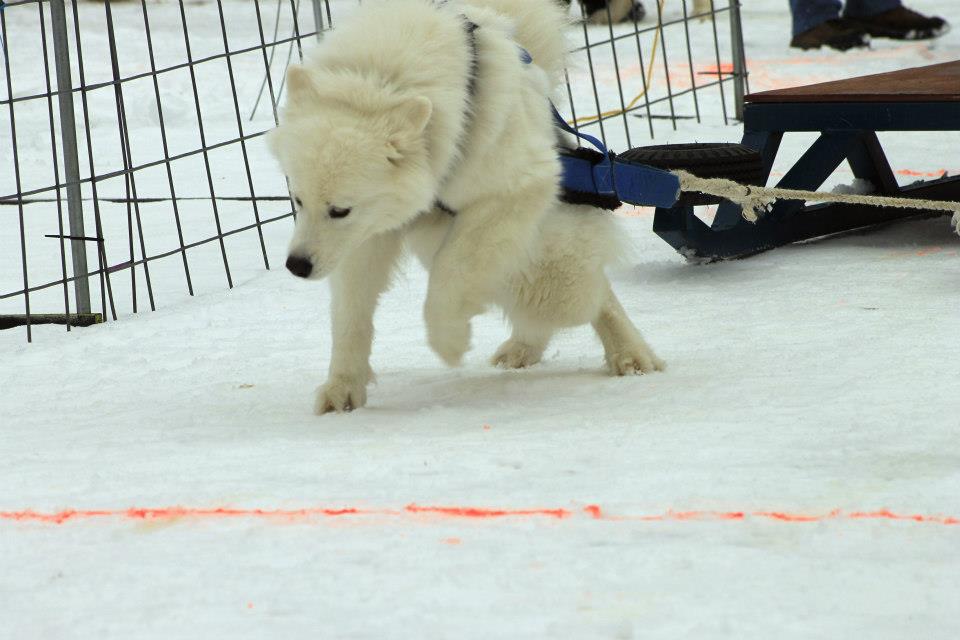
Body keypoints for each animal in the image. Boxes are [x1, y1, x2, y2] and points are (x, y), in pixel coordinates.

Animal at [266, 0, 664, 412]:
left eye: (340, 210)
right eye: (297, 199)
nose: (296, 266)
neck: (379, 78)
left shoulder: (516, 189)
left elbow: (452, 271)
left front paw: (449, 341)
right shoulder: (366, 236)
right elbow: (351, 314)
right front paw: (342, 388)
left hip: (541, 261)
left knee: (590, 295)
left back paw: (629, 354)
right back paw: (523, 349)